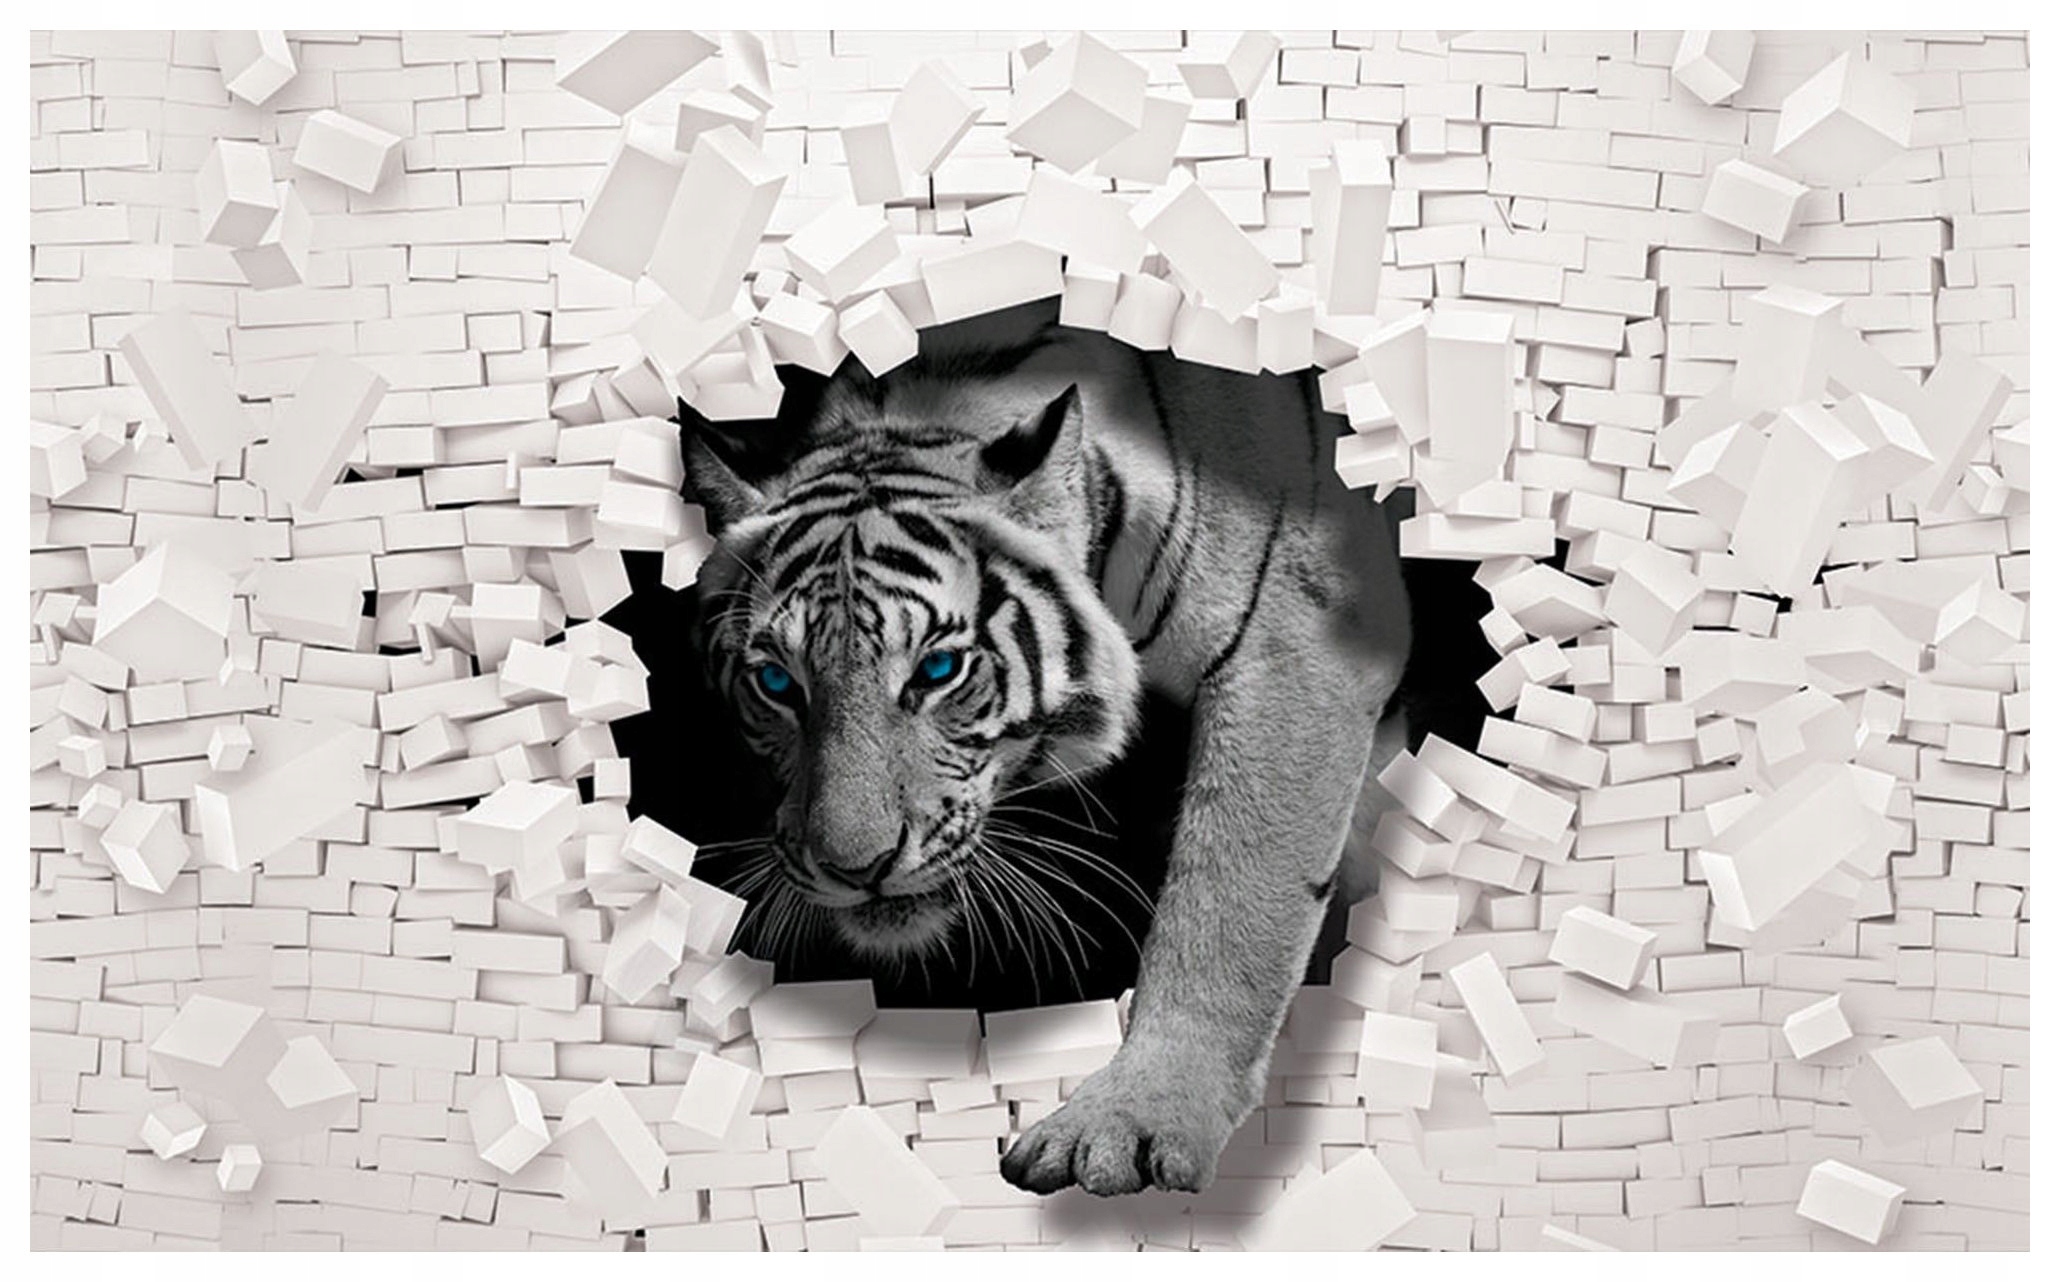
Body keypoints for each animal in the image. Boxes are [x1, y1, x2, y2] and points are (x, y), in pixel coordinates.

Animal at [680, 297, 1411, 1196]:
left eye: (939, 669)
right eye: (778, 683)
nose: (855, 870)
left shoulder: (1300, 643)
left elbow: (1229, 905)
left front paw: (1135, 1120)